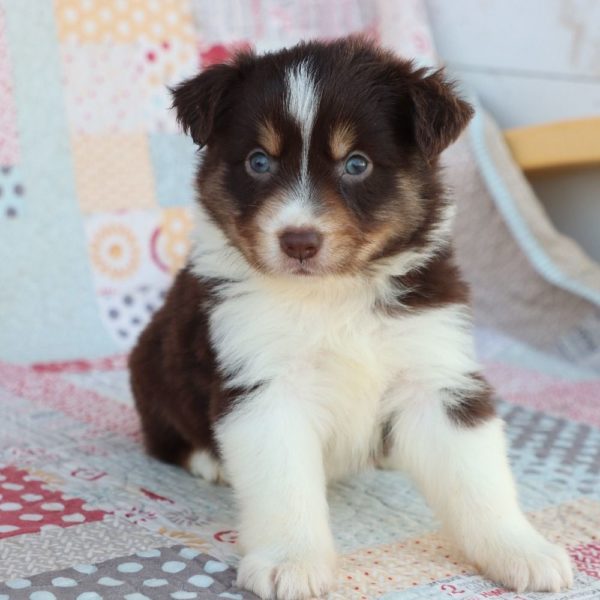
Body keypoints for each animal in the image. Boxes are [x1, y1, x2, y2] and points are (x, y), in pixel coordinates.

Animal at [130, 36, 572, 600]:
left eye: (356, 164)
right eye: (258, 161)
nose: (298, 241)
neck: (334, 294)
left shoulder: (436, 373)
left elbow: (478, 478)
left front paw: (521, 551)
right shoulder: (264, 383)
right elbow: (284, 485)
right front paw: (290, 561)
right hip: (152, 365)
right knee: (165, 436)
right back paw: (211, 461)